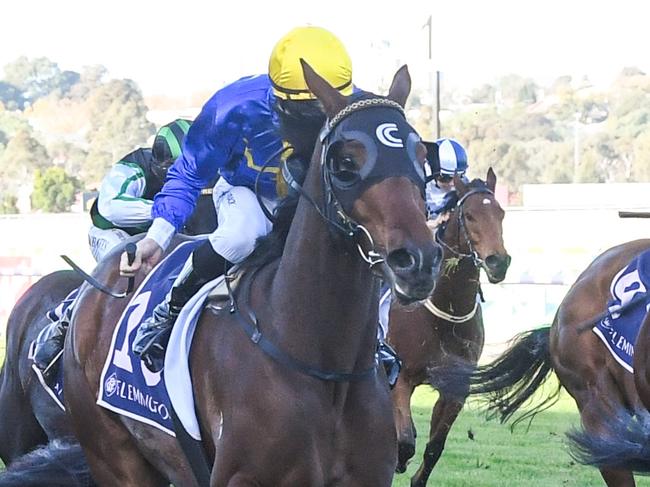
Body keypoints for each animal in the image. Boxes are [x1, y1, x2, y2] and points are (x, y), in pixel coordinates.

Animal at [388, 169, 508, 487]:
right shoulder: (402, 377)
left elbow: (434, 447)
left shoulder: (455, 389)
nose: (498, 262)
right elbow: (404, 441)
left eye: (501, 213)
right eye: (469, 215)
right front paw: (399, 461)